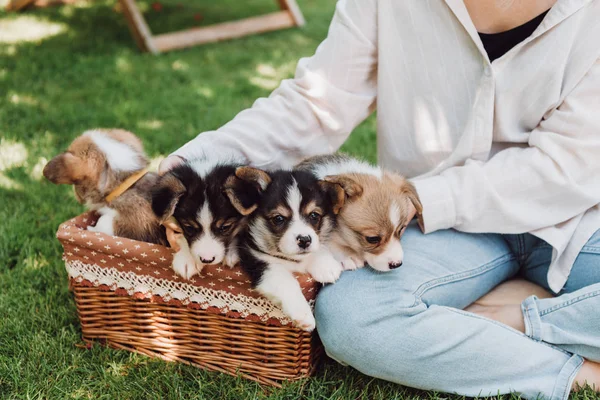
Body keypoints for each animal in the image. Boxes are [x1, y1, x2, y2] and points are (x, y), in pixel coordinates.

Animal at [224, 166, 346, 332]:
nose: (304, 240)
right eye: (279, 218)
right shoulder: (259, 262)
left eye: (314, 215)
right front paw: (303, 314)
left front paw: (326, 266)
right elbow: (286, 282)